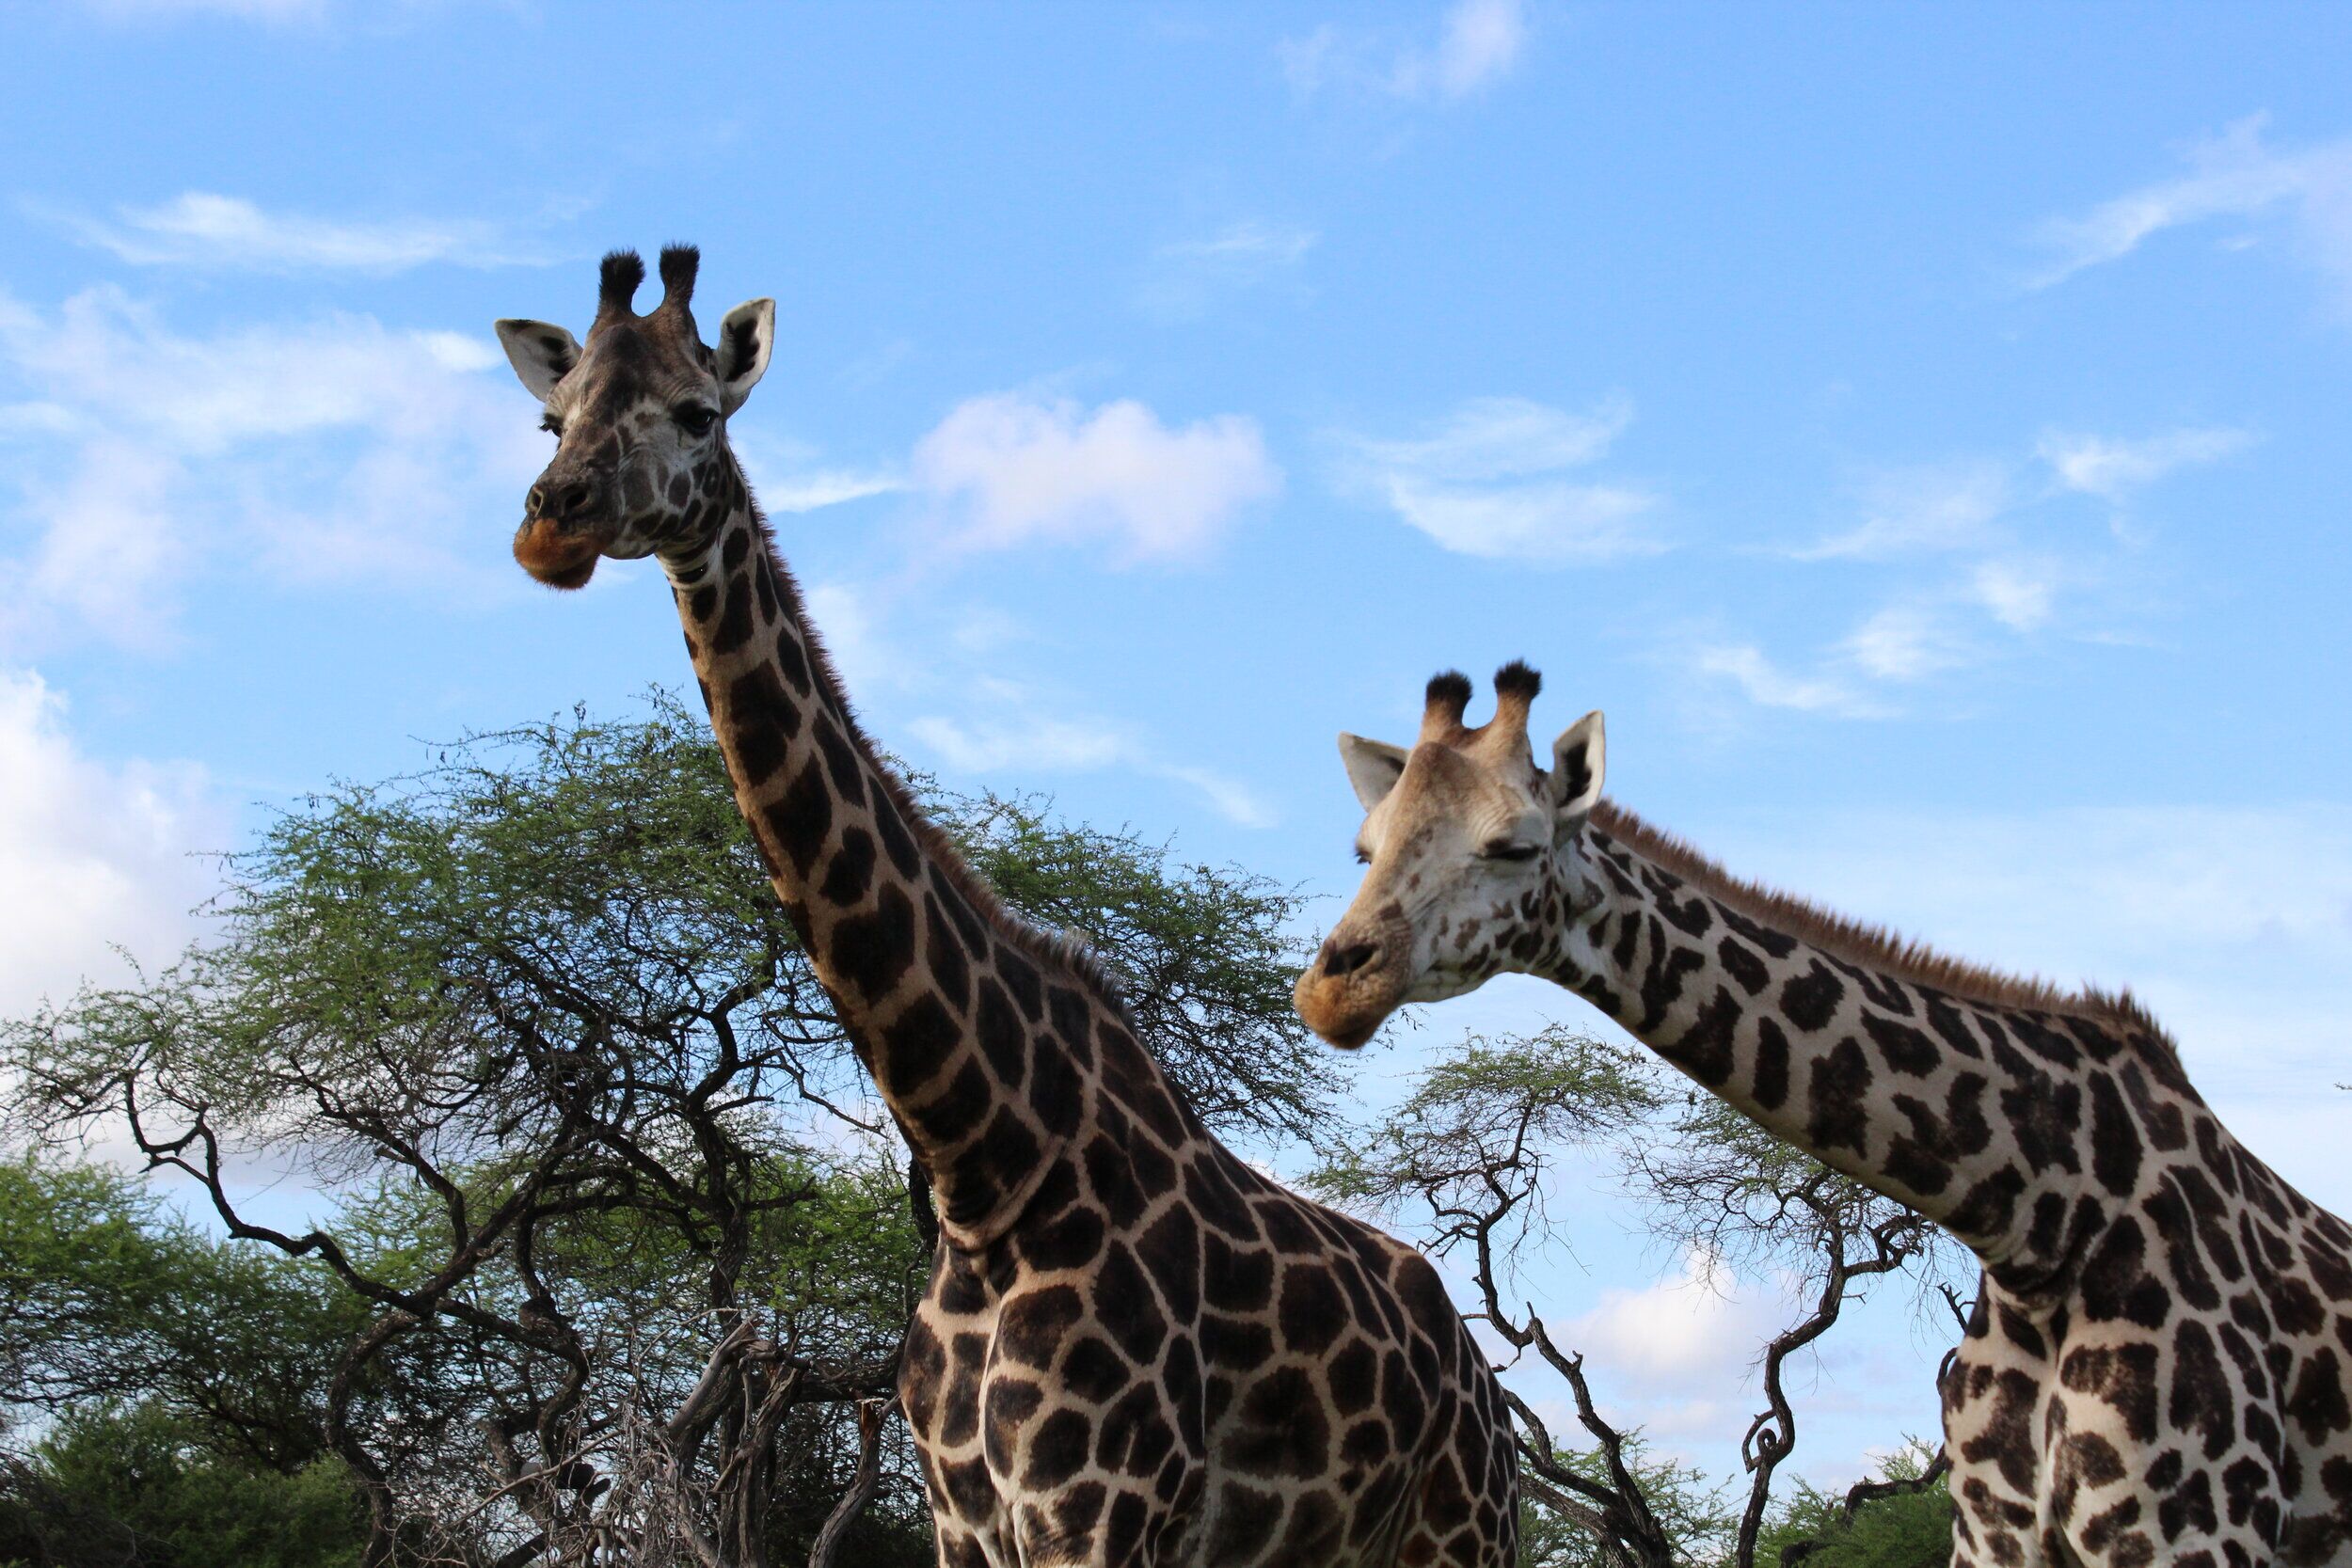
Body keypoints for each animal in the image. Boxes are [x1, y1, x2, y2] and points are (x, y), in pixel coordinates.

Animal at [490, 247, 1519, 1567]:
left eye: (696, 412)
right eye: (552, 417)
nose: (550, 522)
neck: (985, 1164)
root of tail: (1480, 1381)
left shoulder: (1097, 1511)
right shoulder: (961, 1519)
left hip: (1460, 1530)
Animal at [1293, 663, 2352, 1568]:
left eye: (1513, 843)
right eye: (1364, 848)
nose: (1332, 988)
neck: (2041, 1219)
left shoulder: (2195, 1529)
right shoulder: (1994, 1533)